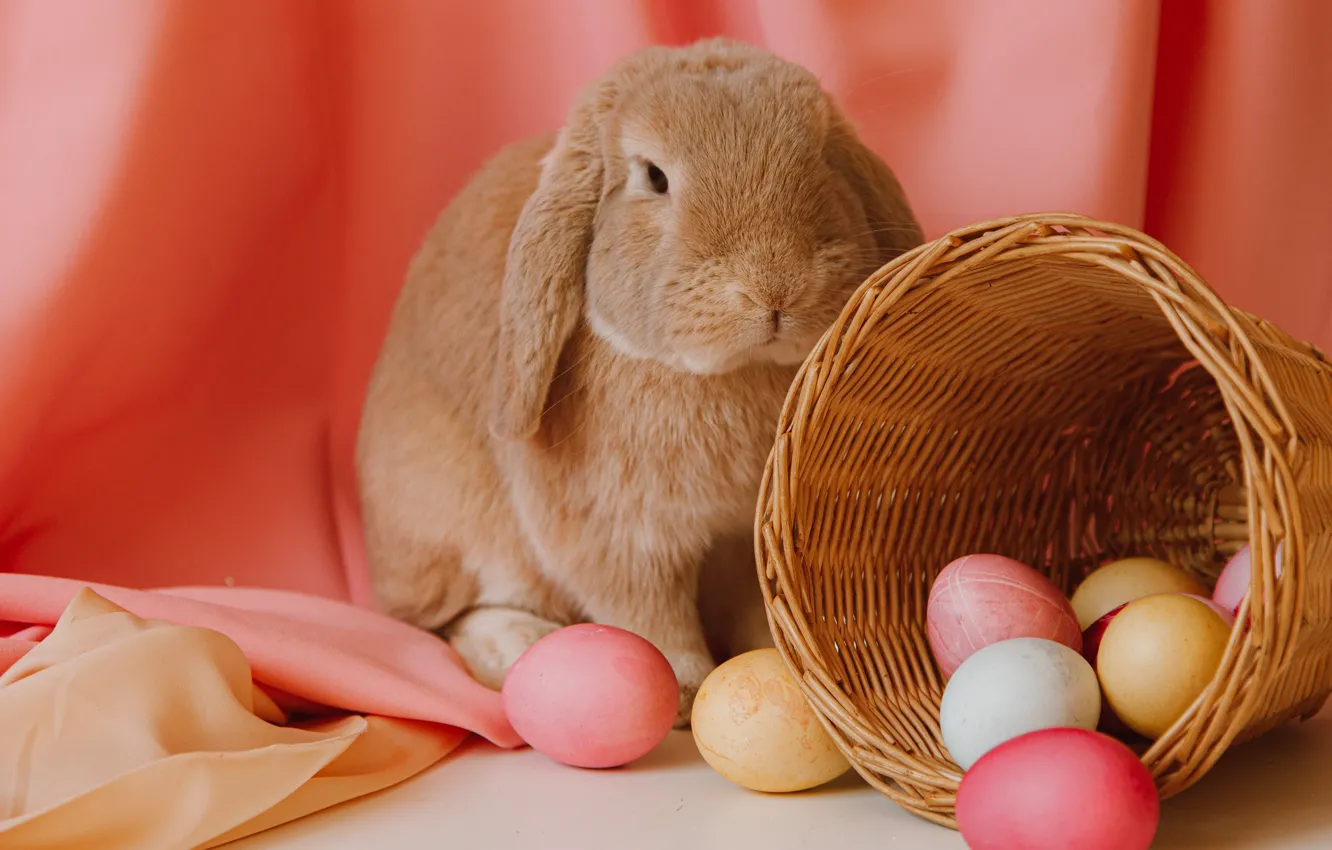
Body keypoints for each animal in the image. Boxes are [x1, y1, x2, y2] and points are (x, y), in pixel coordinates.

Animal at [356, 38, 927, 724]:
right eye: (653, 176)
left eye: (820, 153)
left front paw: (779, 664)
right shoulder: (622, 535)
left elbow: (755, 608)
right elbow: (648, 613)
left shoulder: (748, 541)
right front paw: (680, 689)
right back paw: (519, 644)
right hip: (454, 529)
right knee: (453, 618)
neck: (730, 371)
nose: (773, 288)